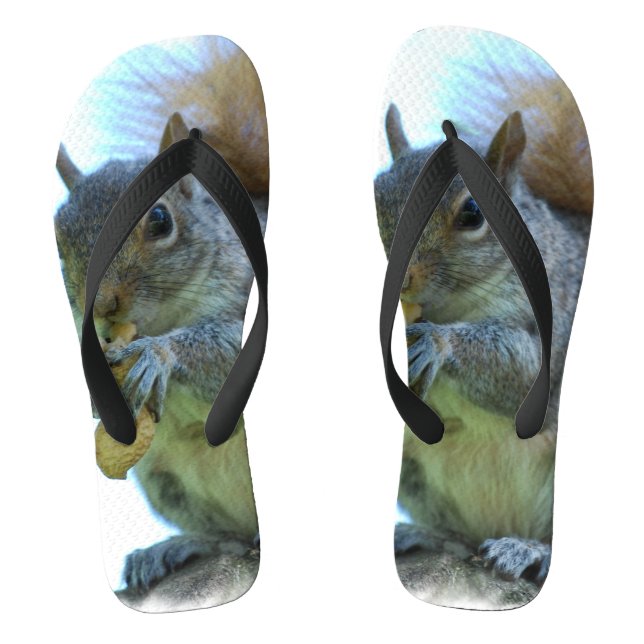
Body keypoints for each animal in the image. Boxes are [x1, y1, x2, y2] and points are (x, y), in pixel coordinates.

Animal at [54, 40, 268, 597]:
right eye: (58, 239)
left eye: (160, 220)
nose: (102, 305)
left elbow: (222, 347)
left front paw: (155, 355)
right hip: (170, 484)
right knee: (226, 534)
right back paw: (182, 547)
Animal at [375, 73, 592, 589]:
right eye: (375, 195)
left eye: (472, 213)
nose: (400, 279)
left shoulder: (552, 311)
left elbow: (522, 368)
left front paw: (437, 342)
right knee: (462, 535)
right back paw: (430, 537)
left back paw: (529, 550)